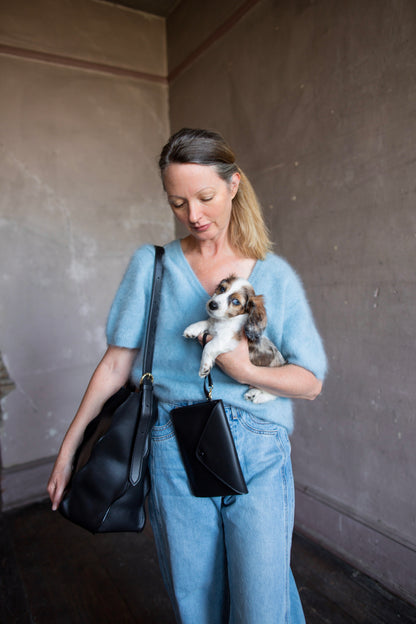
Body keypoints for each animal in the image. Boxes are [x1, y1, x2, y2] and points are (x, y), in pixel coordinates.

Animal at [184, 274, 286, 402]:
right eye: (222, 289)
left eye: (236, 301)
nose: (212, 305)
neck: (224, 321)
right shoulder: (213, 327)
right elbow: (206, 322)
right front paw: (191, 329)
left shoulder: (228, 339)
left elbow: (209, 346)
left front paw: (204, 366)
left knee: (273, 394)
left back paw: (256, 396)